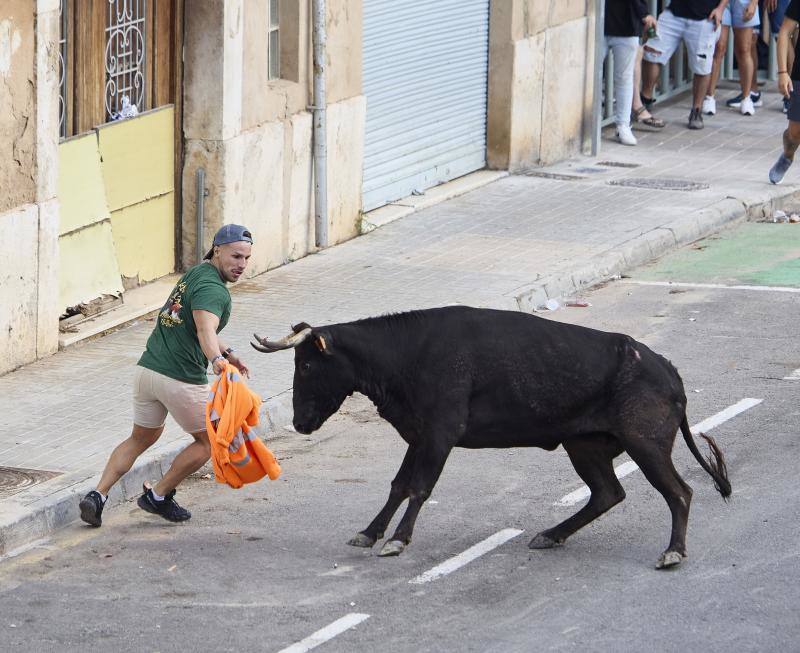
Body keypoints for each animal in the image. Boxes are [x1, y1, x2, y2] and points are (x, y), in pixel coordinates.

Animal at [252, 306, 732, 564]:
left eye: (307, 365)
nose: (300, 422)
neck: (405, 354)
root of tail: (668, 370)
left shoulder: (440, 434)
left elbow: (419, 487)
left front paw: (398, 540)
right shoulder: (419, 435)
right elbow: (399, 485)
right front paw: (370, 533)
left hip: (645, 445)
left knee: (679, 492)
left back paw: (673, 552)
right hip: (585, 446)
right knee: (607, 493)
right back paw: (551, 535)